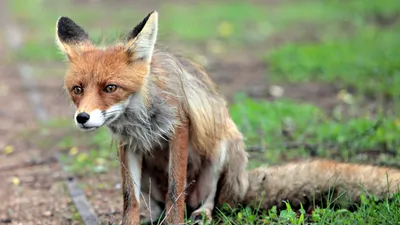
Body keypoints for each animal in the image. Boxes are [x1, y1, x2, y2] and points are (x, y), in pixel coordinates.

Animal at [56, 11, 400, 224]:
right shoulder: (128, 146)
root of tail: (243, 185)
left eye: (110, 88)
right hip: (151, 178)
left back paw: (202, 215)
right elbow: (130, 199)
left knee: (207, 202)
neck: (140, 118)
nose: (83, 118)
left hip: (220, 151)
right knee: (155, 204)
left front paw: (176, 222)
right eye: (77, 89)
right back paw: (155, 218)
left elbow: (176, 190)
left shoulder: (179, 129)